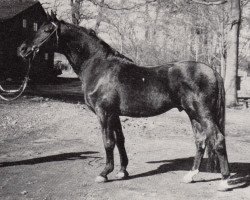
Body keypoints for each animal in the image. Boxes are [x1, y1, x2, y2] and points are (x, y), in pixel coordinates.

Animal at [18, 12, 231, 191]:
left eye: (47, 30)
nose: (23, 49)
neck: (99, 67)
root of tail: (212, 71)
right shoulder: (115, 114)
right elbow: (120, 140)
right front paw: (122, 171)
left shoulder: (104, 113)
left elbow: (108, 142)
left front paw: (104, 174)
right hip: (192, 113)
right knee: (200, 141)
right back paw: (190, 176)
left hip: (202, 113)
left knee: (217, 139)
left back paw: (224, 181)